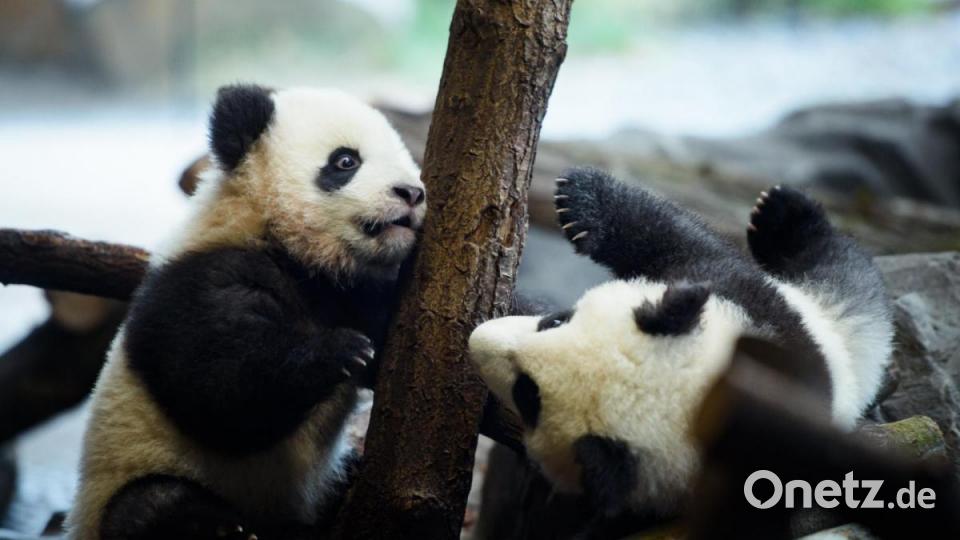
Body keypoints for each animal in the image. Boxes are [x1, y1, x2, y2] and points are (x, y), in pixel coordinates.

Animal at [66, 85, 425, 540]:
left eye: (406, 156)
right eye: (346, 161)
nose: (412, 193)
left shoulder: (353, 292)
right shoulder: (200, 281)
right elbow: (219, 394)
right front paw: (340, 351)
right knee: (148, 506)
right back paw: (224, 528)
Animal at [469, 167, 892, 523]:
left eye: (528, 395)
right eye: (558, 320)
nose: (477, 339)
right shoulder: (737, 300)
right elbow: (677, 240)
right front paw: (580, 198)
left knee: (849, 280)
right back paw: (778, 213)